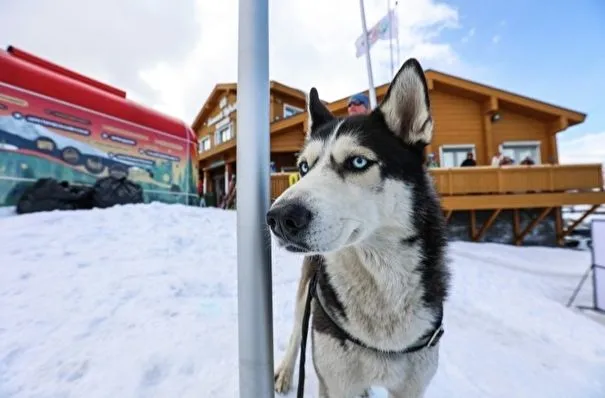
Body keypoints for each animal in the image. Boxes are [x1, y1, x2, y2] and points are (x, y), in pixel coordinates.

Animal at [266, 59, 450, 398]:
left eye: (358, 162)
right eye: (303, 167)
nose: (279, 218)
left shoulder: (411, 388)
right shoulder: (335, 381)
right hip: (306, 294)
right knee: (297, 331)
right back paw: (285, 372)